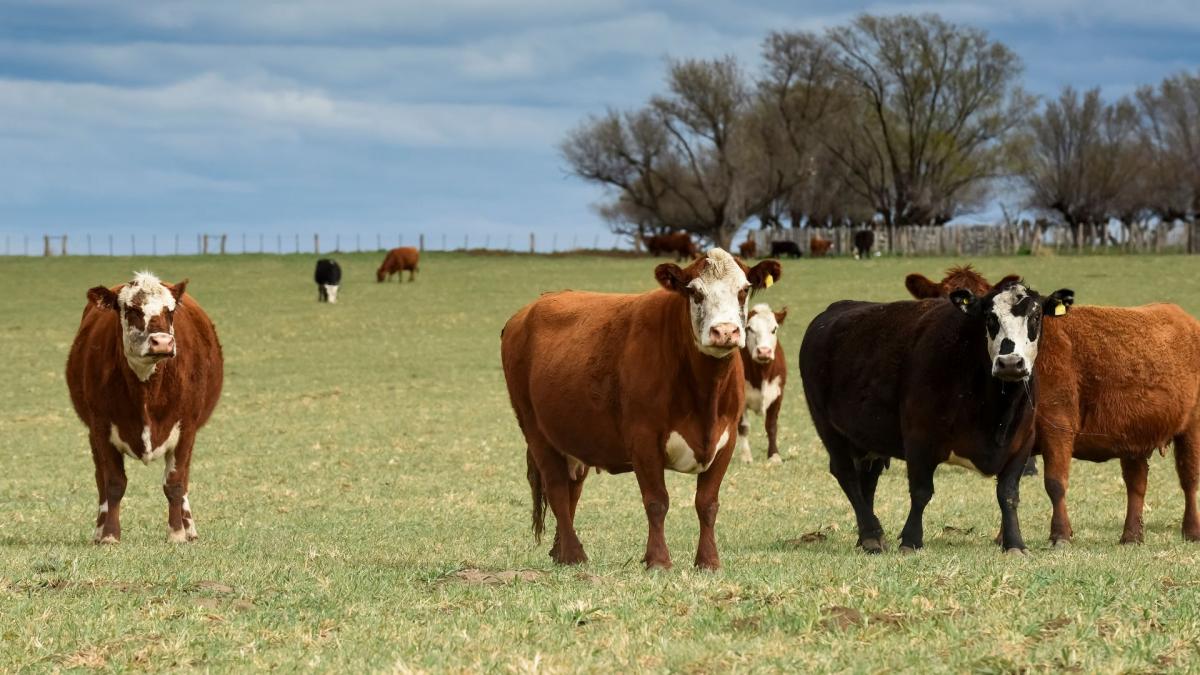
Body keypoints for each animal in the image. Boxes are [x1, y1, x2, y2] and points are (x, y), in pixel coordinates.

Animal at [66, 272, 223, 544]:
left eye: (170, 311)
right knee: (100, 480)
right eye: (131, 309)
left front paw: (177, 533)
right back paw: (99, 530)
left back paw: (189, 527)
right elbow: (113, 482)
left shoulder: (186, 428)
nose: (162, 342)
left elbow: (175, 483)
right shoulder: (101, 428)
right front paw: (109, 535)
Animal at [501, 248, 781, 569]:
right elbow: (657, 501)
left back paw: (560, 552)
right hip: (535, 431)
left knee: (572, 490)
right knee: (557, 488)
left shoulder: (727, 438)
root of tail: (526, 312)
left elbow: (707, 503)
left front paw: (709, 561)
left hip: (573, 439)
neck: (704, 391)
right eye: (695, 292)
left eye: (743, 290)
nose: (724, 331)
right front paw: (658, 560)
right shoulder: (644, 439)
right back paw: (573, 555)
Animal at [736, 304, 787, 464]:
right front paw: (745, 456)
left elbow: (771, 426)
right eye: (749, 328)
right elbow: (743, 427)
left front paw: (774, 455)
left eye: (774, 329)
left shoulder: (778, 395)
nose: (764, 351)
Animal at [800, 280, 1074, 554]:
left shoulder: (1021, 443)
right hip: (828, 427)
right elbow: (921, 492)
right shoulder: (919, 438)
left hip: (869, 438)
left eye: (1036, 316)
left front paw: (1015, 543)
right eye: (990, 317)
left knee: (867, 478)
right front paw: (911, 540)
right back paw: (871, 534)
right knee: (846, 474)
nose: (1010, 363)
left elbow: (1007, 494)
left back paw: (867, 535)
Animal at [907, 267, 1200, 545]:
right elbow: (1008, 486)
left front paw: (1060, 534)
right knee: (1136, 483)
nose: (1010, 362)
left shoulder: (1058, 428)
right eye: (988, 316)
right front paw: (1006, 537)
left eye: (1035, 318)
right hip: (1133, 435)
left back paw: (1192, 530)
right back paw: (1131, 536)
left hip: (1191, 429)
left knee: (1189, 478)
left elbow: (1055, 483)